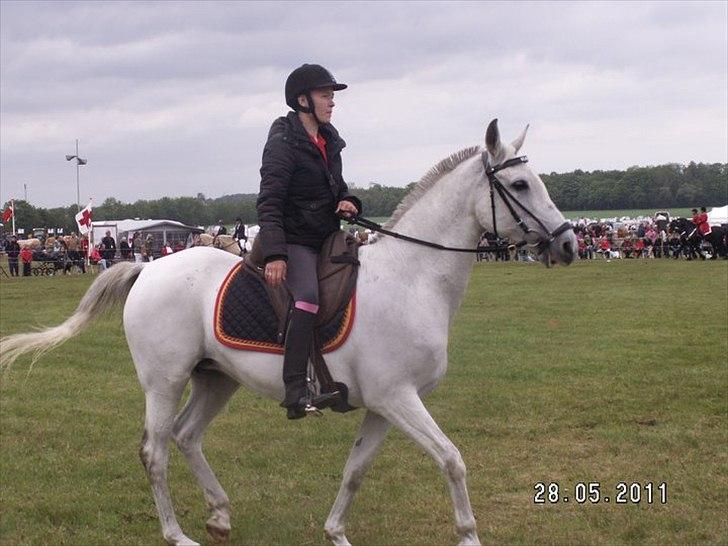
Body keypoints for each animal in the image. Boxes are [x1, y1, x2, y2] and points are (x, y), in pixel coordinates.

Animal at [2, 120, 576, 544]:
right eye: (520, 185)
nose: (568, 244)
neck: (411, 278)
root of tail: (148, 269)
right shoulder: (399, 398)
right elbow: (452, 460)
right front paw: (468, 533)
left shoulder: (383, 405)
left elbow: (355, 470)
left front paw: (336, 532)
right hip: (164, 381)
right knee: (156, 450)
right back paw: (177, 533)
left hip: (216, 378)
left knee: (186, 437)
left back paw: (219, 515)